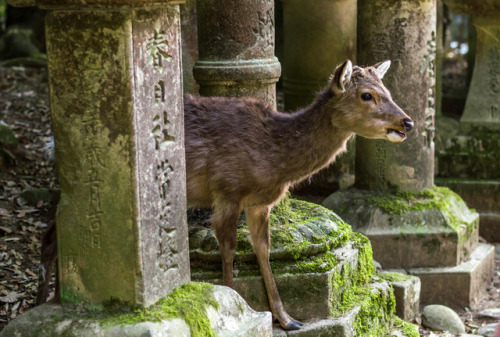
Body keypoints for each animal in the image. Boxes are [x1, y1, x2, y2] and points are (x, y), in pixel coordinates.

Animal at [185, 59, 414, 330]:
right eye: (367, 95)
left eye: (387, 90)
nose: (407, 122)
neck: (275, 164)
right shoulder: (227, 191)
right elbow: (229, 250)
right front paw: (235, 303)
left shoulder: (260, 203)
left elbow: (263, 249)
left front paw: (288, 320)